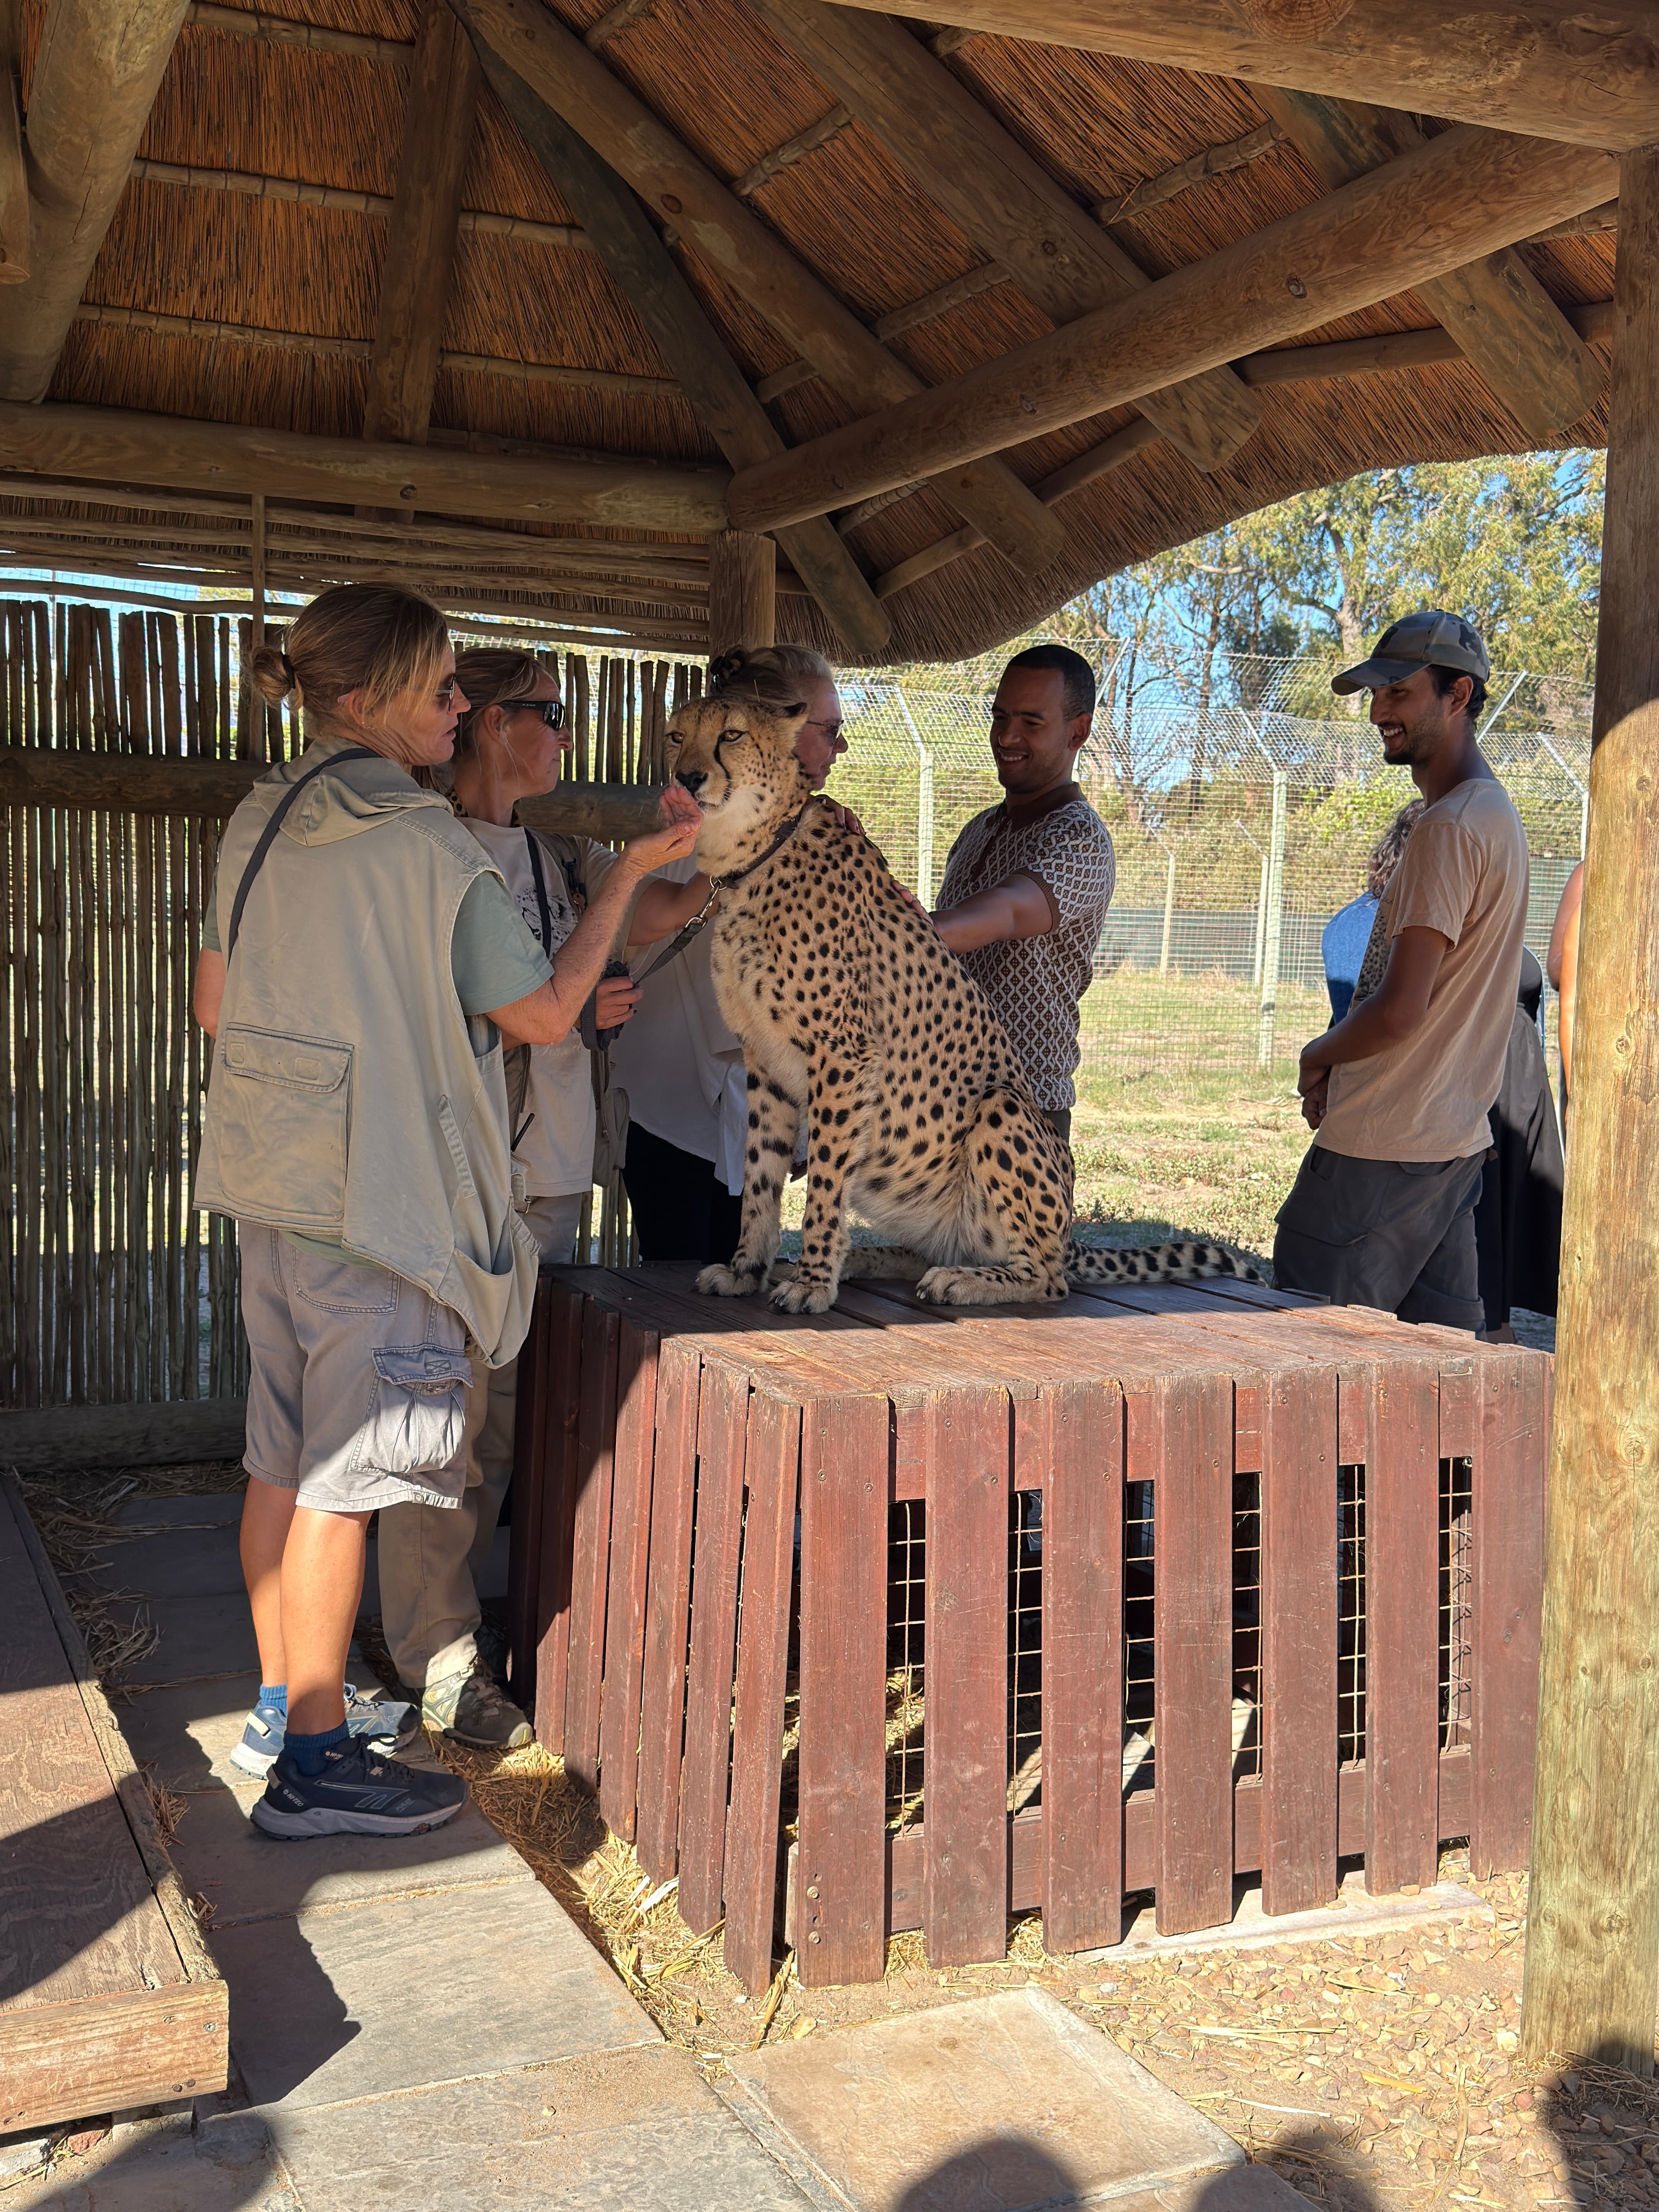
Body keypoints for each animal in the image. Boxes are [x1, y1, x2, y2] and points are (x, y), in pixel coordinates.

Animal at [664, 690, 1260, 1314]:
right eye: (677, 736)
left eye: (731, 735)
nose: (687, 777)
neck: (752, 859)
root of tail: (1072, 1234)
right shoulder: (765, 1057)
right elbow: (761, 1174)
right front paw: (747, 1269)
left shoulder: (843, 1054)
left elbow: (824, 1180)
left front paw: (813, 1280)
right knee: (932, 1250)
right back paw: (871, 1259)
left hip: (1002, 1109)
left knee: (1049, 1278)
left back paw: (964, 1279)